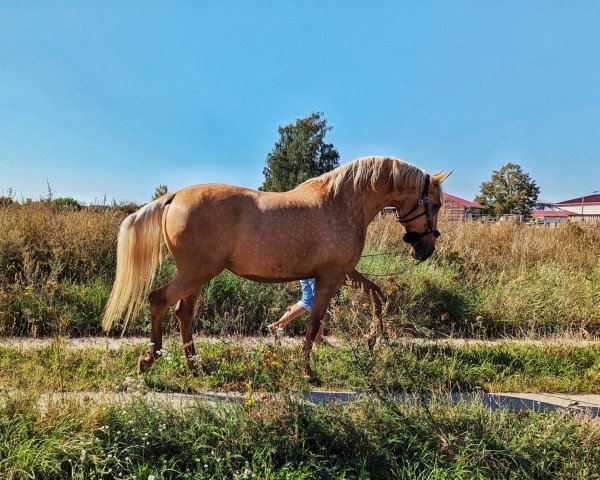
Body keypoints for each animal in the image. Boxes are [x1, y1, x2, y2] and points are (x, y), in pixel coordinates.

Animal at [102, 158, 450, 382]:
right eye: (435, 204)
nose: (425, 250)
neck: (343, 201)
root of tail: (175, 197)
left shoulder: (344, 272)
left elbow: (377, 295)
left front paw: (372, 338)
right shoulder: (332, 276)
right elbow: (314, 322)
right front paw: (308, 372)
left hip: (197, 277)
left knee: (183, 314)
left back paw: (196, 366)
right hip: (195, 274)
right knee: (159, 301)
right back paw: (148, 361)